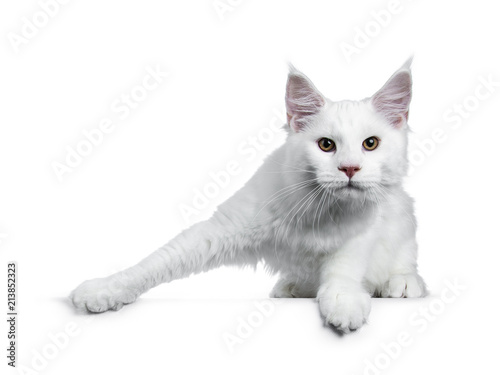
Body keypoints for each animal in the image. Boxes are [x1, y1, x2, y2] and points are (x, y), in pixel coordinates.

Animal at [72, 60, 428, 334]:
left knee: (405, 262)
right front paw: (104, 289)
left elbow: (343, 274)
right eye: (326, 145)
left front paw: (345, 305)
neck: (319, 208)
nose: (350, 168)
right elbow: (155, 262)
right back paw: (292, 287)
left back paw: (403, 284)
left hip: (403, 218)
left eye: (371, 144)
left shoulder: (361, 238)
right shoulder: (221, 230)